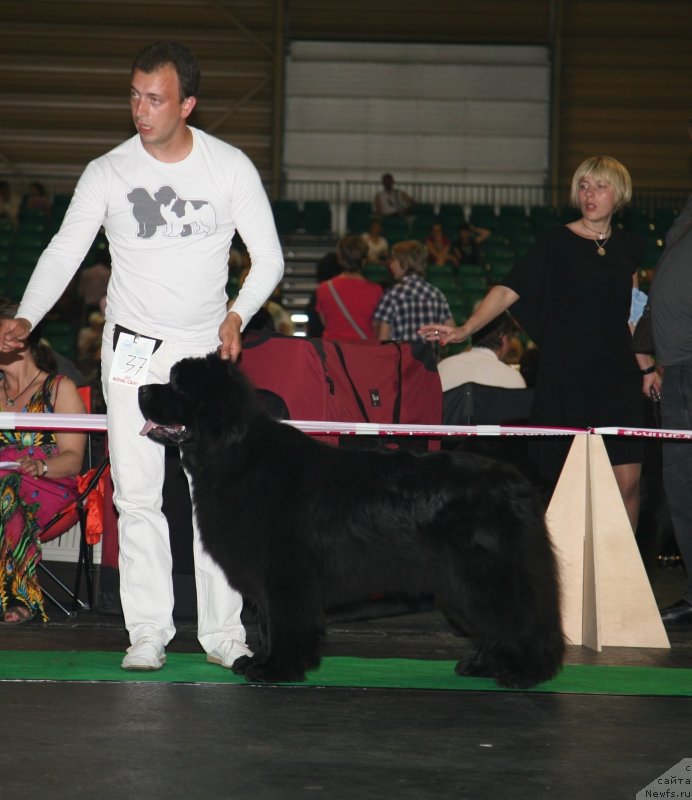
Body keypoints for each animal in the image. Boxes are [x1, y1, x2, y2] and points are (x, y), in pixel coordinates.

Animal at [138, 354, 564, 692]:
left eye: (176, 386)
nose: (141, 389)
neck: (235, 452)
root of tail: (518, 483)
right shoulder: (272, 577)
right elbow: (270, 624)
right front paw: (262, 661)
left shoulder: (285, 573)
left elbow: (283, 622)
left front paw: (275, 668)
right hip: (462, 583)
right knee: (499, 624)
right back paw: (483, 665)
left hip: (483, 575)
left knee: (523, 620)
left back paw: (527, 673)